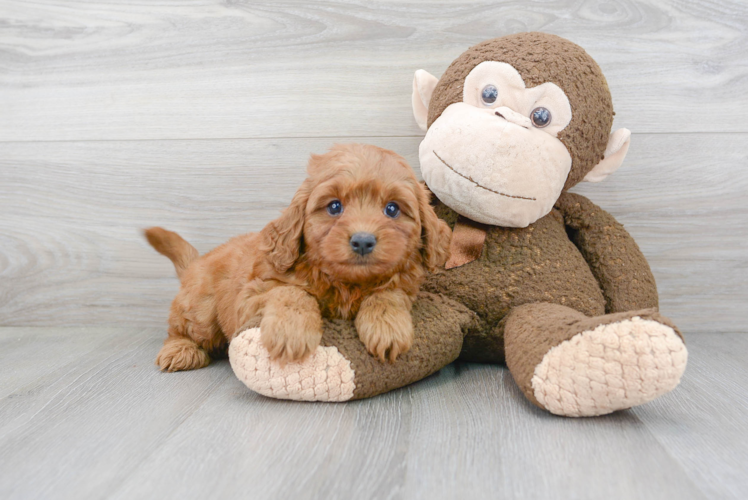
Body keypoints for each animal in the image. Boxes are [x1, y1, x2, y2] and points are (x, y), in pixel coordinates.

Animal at [145, 145, 450, 372]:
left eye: (392, 209)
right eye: (334, 207)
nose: (363, 241)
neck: (347, 284)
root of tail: (196, 263)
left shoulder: (405, 286)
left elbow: (389, 293)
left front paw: (387, 327)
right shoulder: (253, 294)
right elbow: (291, 292)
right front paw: (291, 332)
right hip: (201, 310)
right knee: (180, 329)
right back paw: (180, 350)